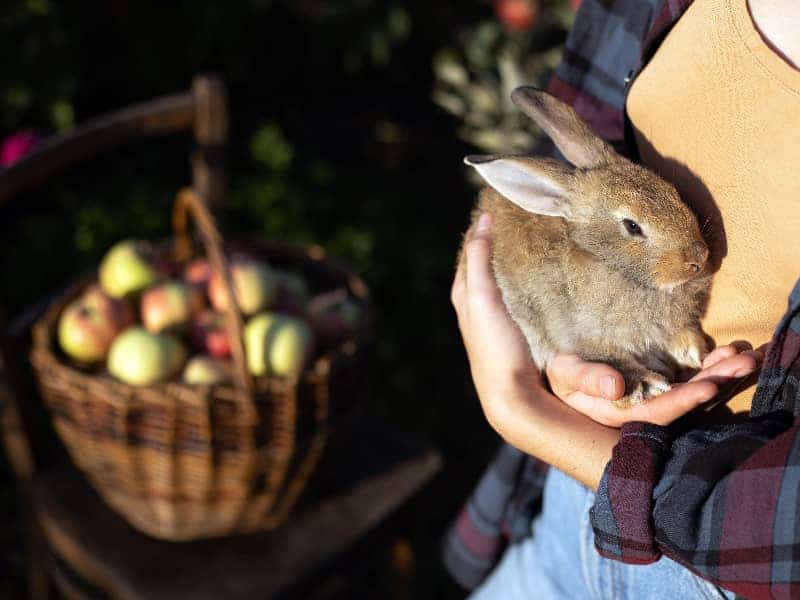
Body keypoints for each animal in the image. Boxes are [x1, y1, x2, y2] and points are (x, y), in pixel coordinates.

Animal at [462, 88, 712, 408]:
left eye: (673, 192)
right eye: (632, 226)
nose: (698, 258)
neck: (603, 260)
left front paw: (691, 349)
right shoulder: (580, 335)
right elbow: (607, 356)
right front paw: (646, 385)